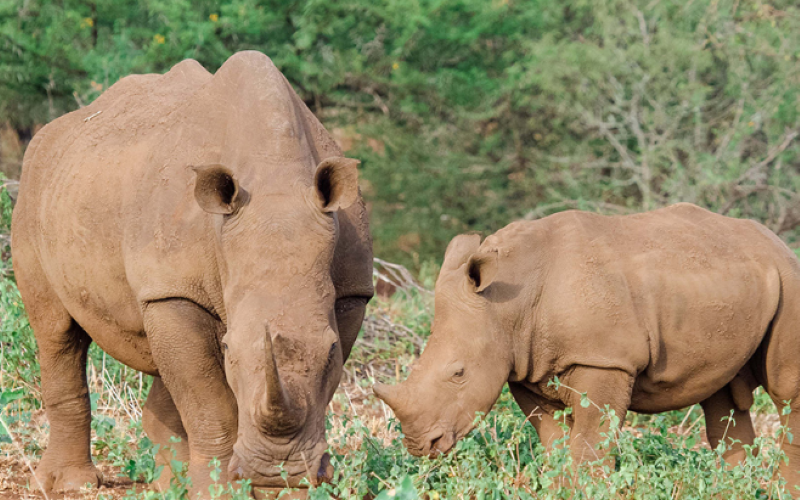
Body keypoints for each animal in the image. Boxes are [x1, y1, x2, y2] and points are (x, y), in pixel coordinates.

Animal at [11, 51, 373, 495]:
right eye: (231, 353)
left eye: (332, 351)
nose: (277, 471)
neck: (276, 179)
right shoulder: (174, 288)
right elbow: (209, 401)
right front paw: (220, 493)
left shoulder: (352, 290)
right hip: (36, 191)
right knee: (57, 334)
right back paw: (71, 485)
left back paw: (170, 487)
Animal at [374, 203, 800, 487]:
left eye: (459, 373)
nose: (419, 445)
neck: (508, 306)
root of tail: (777, 241)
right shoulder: (526, 365)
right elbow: (555, 439)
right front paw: (557, 488)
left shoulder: (605, 360)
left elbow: (590, 439)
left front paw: (587, 489)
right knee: (722, 397)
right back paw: (735, 486)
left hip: (788, 278)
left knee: (785, 389)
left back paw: (779, 489)